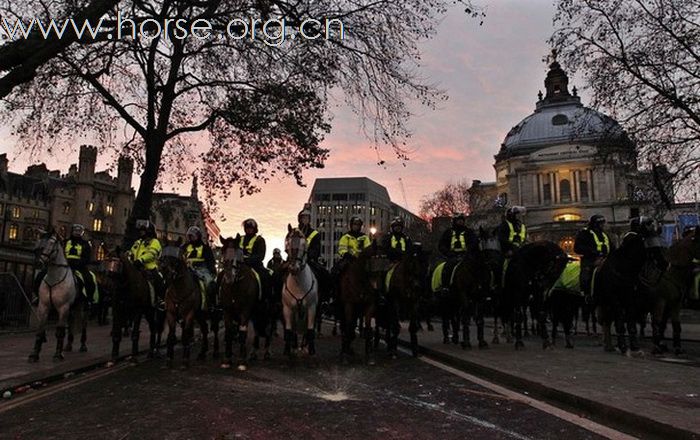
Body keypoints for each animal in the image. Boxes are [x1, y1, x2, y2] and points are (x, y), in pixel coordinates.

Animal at [28, 227, 77, 360]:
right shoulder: (43, 306)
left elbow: (60, 332)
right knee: (71, 325)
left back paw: (82, 346)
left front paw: (58, 355)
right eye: (38, 242)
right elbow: (40, 330)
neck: (55, 278)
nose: (38, 263)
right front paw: (34, 354)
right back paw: (69, 345)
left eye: (51, 243)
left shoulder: (63, 308)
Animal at [284, 227, 318, 358]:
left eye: (304, 244)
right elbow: (289, 330)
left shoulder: (312, 307)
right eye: (287, 242)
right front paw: (288, 350)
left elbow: (310, 330)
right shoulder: (287, 308)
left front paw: (311, 350)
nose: (294, 267)